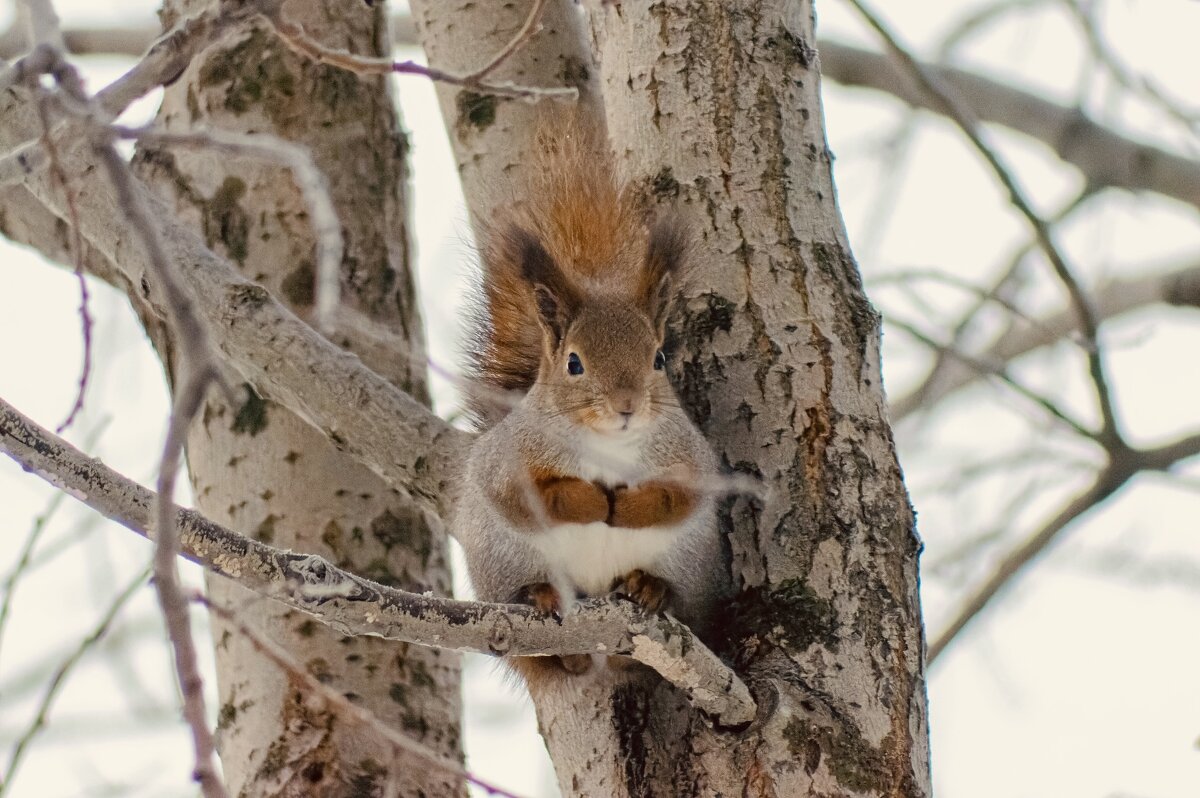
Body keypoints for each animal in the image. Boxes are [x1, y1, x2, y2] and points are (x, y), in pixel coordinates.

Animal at [456, 121, 724, 676]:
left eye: (658, 358)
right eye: (574, 363)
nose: (626, 405)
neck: (609, 445)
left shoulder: (690, 455)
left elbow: (680, 495)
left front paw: (628, 507)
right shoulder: (507, 460)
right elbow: (530, 495)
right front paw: (594, 499)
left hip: (691, 563)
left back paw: (651, 589)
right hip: (499, 557)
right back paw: (541, 599)